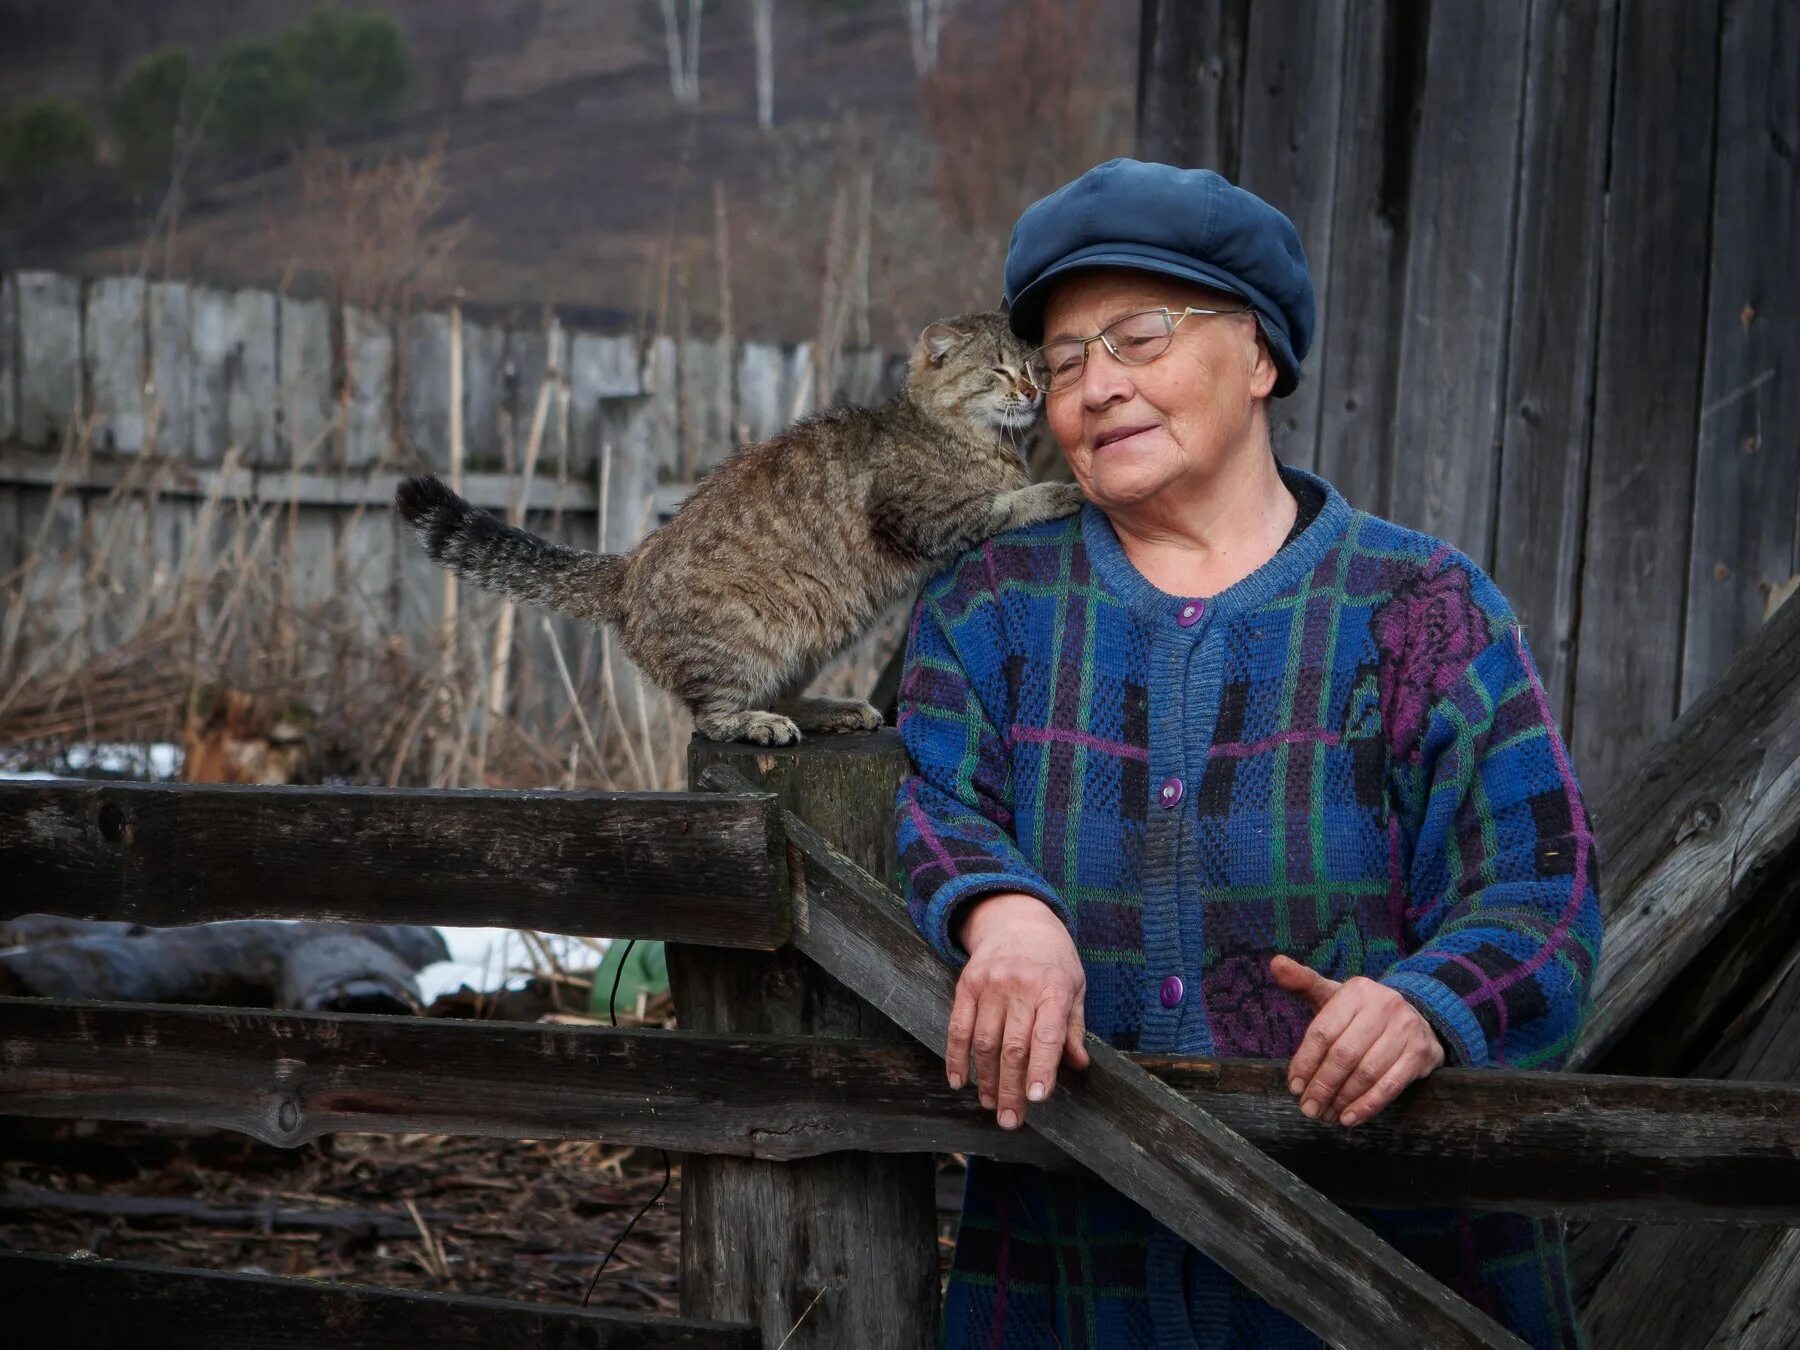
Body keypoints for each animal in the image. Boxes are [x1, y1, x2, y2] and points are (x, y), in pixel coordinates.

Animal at [399, 311, 1072, 745]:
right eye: (999, 372)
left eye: (1034, 365)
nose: (1032, 390)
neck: (958, 434)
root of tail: (630, 566)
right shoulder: (925, 518)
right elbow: (1002, 503)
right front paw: (1052, 492)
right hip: (745, 639)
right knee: (713, 718)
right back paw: (758, 724)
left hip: (810, 641)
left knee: (778, 691)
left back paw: (828, 710)